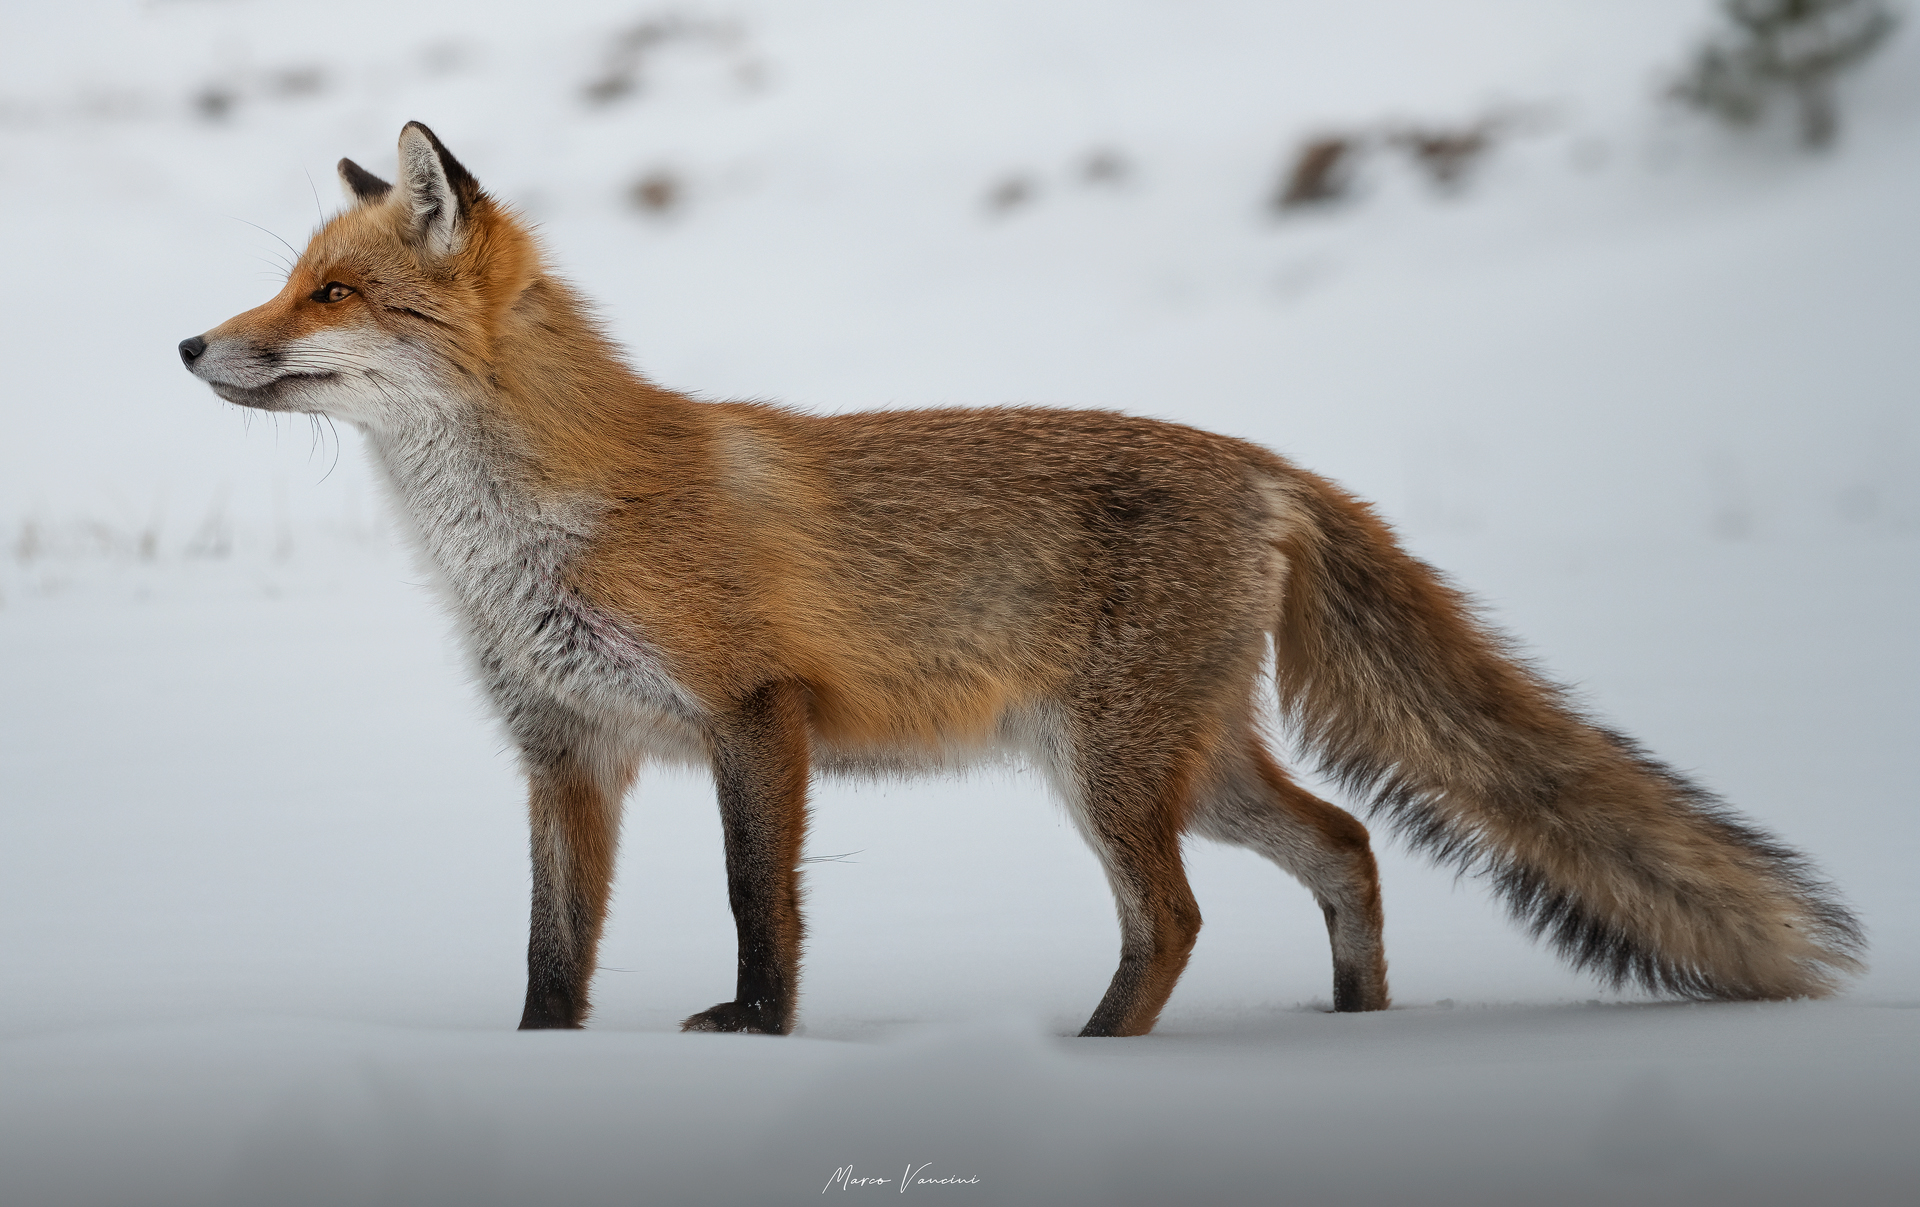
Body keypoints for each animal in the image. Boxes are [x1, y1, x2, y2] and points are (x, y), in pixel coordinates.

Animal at [180, 122, 1862, 1037]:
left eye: (331, 292)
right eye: (284, 280)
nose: (190, 342)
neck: (531, 524)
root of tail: (1267, 460)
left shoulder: (751, 710)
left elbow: (756, 900)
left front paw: (756, 1035)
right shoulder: (566, 749)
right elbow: (550, 944)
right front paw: (541, 1062)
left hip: (1113, 769)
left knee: (1176, 916)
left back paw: (1097, 1049)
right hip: (1179, 761)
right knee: (1343, 844)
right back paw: (1349, 1026)